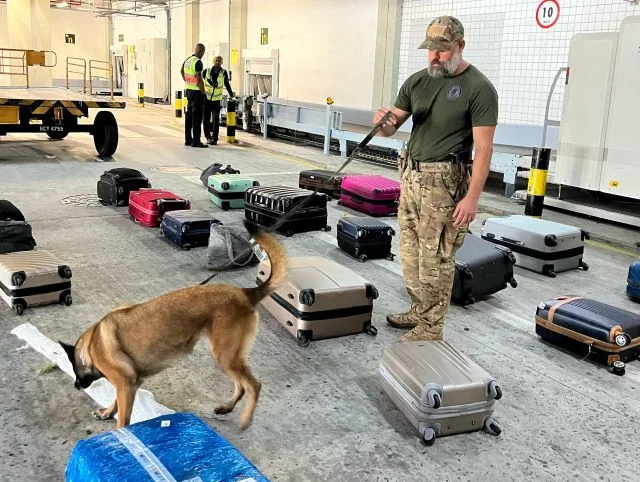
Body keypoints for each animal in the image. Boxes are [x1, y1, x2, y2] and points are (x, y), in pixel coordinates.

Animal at [58, 219, 288, 430]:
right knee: (241, 385)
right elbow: (117, 403)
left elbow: (123, 419)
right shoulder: (131, 384)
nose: (76, 385)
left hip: (226, 356)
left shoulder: (124, 384)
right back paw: (227, 406)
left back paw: (246, 419)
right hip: (227, 357)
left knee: (254, 385)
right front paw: (107, 412)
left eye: (75, 368)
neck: (91, 344)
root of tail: (245, 293)